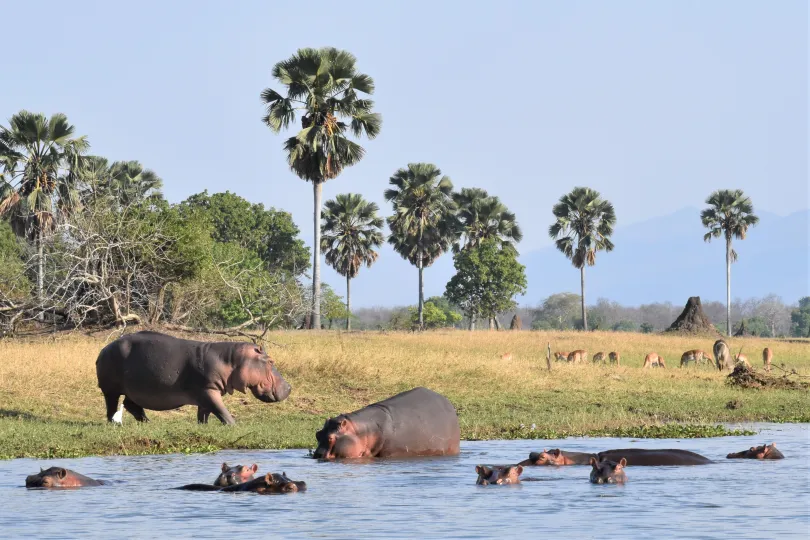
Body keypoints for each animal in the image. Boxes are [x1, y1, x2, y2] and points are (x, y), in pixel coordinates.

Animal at [95, 330, 290, 426]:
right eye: (270, 361)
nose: (289, 387)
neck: (232, 360)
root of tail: (103, 349)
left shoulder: (205, 394)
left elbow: (204, 412)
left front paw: (203, 426)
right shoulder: (208, 390)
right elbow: (221, 410)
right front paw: (234, 425)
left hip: (134, 390)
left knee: (131, 405)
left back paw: (147, 422)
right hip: (111, 389)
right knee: (112, 406)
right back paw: (114, 423)